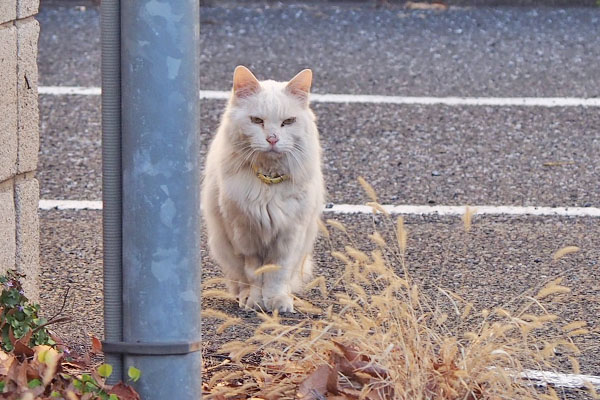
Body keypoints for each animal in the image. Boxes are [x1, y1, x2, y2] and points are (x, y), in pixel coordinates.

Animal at [200, 66, 324, 312]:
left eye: (288, 122)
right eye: (257, 120)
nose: (272, 139)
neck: (269, 181)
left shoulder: (289, 234)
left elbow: (276, 274)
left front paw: (277, 302)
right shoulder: (245, 234)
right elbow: (255, 275)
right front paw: (255, 302)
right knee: (239, 280)